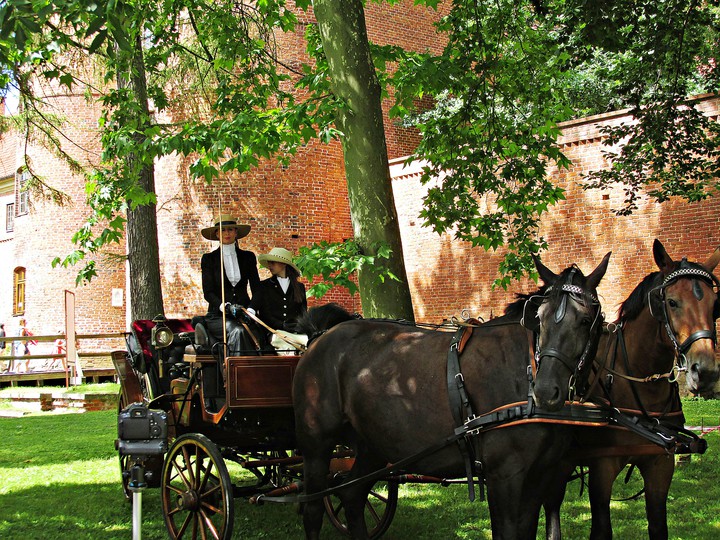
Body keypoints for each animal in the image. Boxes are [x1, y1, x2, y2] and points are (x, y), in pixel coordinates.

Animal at [292, 254, 608, 540]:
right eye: (539, 319)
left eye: (585, 320)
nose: (545, 390)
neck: (526, 369)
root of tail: (320, 337)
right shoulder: (505, 477)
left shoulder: (540, 476)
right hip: (316, 445)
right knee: (313, 510)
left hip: (373, 443)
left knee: (352, 495)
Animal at [544, 240, 720, 540]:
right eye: (671, 302)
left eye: (714, 304)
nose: (705, 371)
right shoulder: (602, 466)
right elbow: (601, 529)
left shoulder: (660, 465)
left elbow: (658, 526)